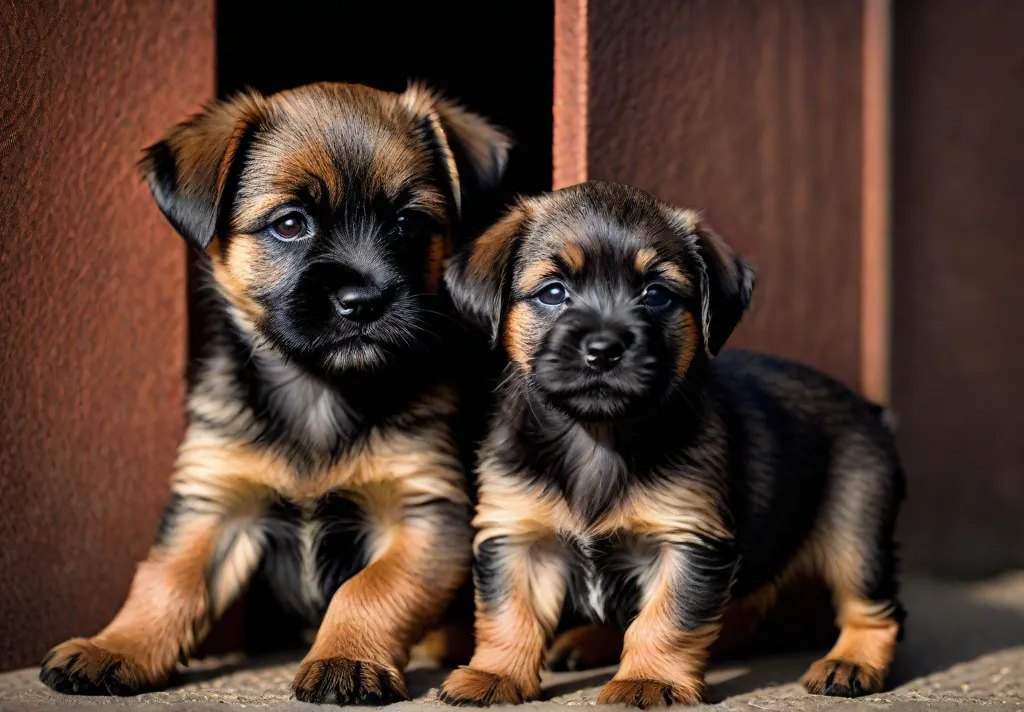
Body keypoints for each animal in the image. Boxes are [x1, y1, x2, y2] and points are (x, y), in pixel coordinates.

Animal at [40, 80, 512, 704]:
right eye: (290, 224)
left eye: (408, 224)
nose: (364, 301)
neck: (320, 388)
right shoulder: (214, 506)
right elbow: (165, 580)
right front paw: (117, 647)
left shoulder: (424, 514)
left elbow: (369, 588)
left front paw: (345, 658)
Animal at [438, 179, 905, 708]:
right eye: (553, 292)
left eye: (656, 295)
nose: (604, 349)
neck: (598, 435)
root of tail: (869, 408)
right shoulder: (518, 536)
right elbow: (508, 613)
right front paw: (494, 673)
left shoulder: (685, 538)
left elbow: (667, 618)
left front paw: (648, 679)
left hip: (856, 531)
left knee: (874, 609)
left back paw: (851, 663)